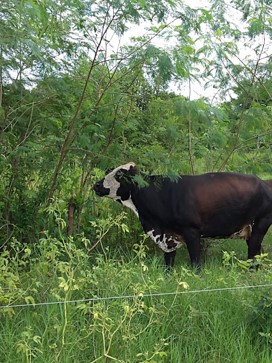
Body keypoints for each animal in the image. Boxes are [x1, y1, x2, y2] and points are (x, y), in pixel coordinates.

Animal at [93, 162, 272, 270]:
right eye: (108, 171)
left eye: (119, 175)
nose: (96, 185)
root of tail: (264, 182)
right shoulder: (168, 238)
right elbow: (168, 264)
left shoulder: (192, 231)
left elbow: (196, 263)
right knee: (258, 254)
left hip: (260, 225)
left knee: (254, 254)